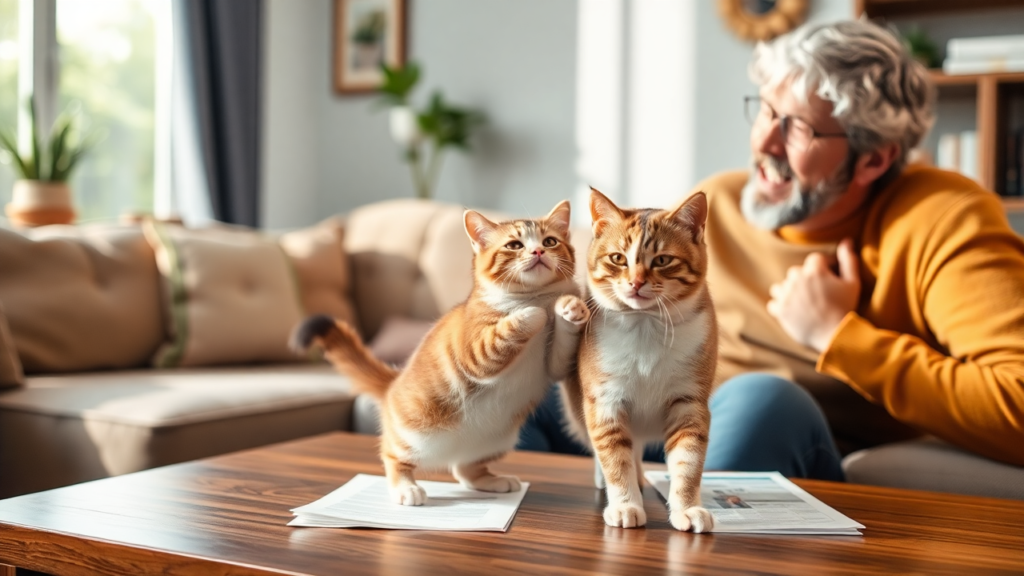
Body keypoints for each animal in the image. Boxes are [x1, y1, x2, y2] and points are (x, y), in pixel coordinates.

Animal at [292, 199, 589, 504]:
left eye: (550, 241)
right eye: (515, 245)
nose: (538, 251)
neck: (534, 294)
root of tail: (393, 384)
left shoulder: (553, 365)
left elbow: (559, 353)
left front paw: (569, 308)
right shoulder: (475, 354)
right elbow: (512, 326)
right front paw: (535, 312)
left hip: (494, 441)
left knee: (464, 469)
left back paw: (491, 480)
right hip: (413, 434)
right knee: (392, 455)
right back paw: (405, 488)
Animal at [557, 188, 716, 528]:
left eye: (663, 260)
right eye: (618, 258)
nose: (637, 282)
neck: (646, 324)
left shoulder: (689, 401)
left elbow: (688, 462)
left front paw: (686, 508)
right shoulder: (605, 401)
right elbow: (615, 459)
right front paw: (625, 504)